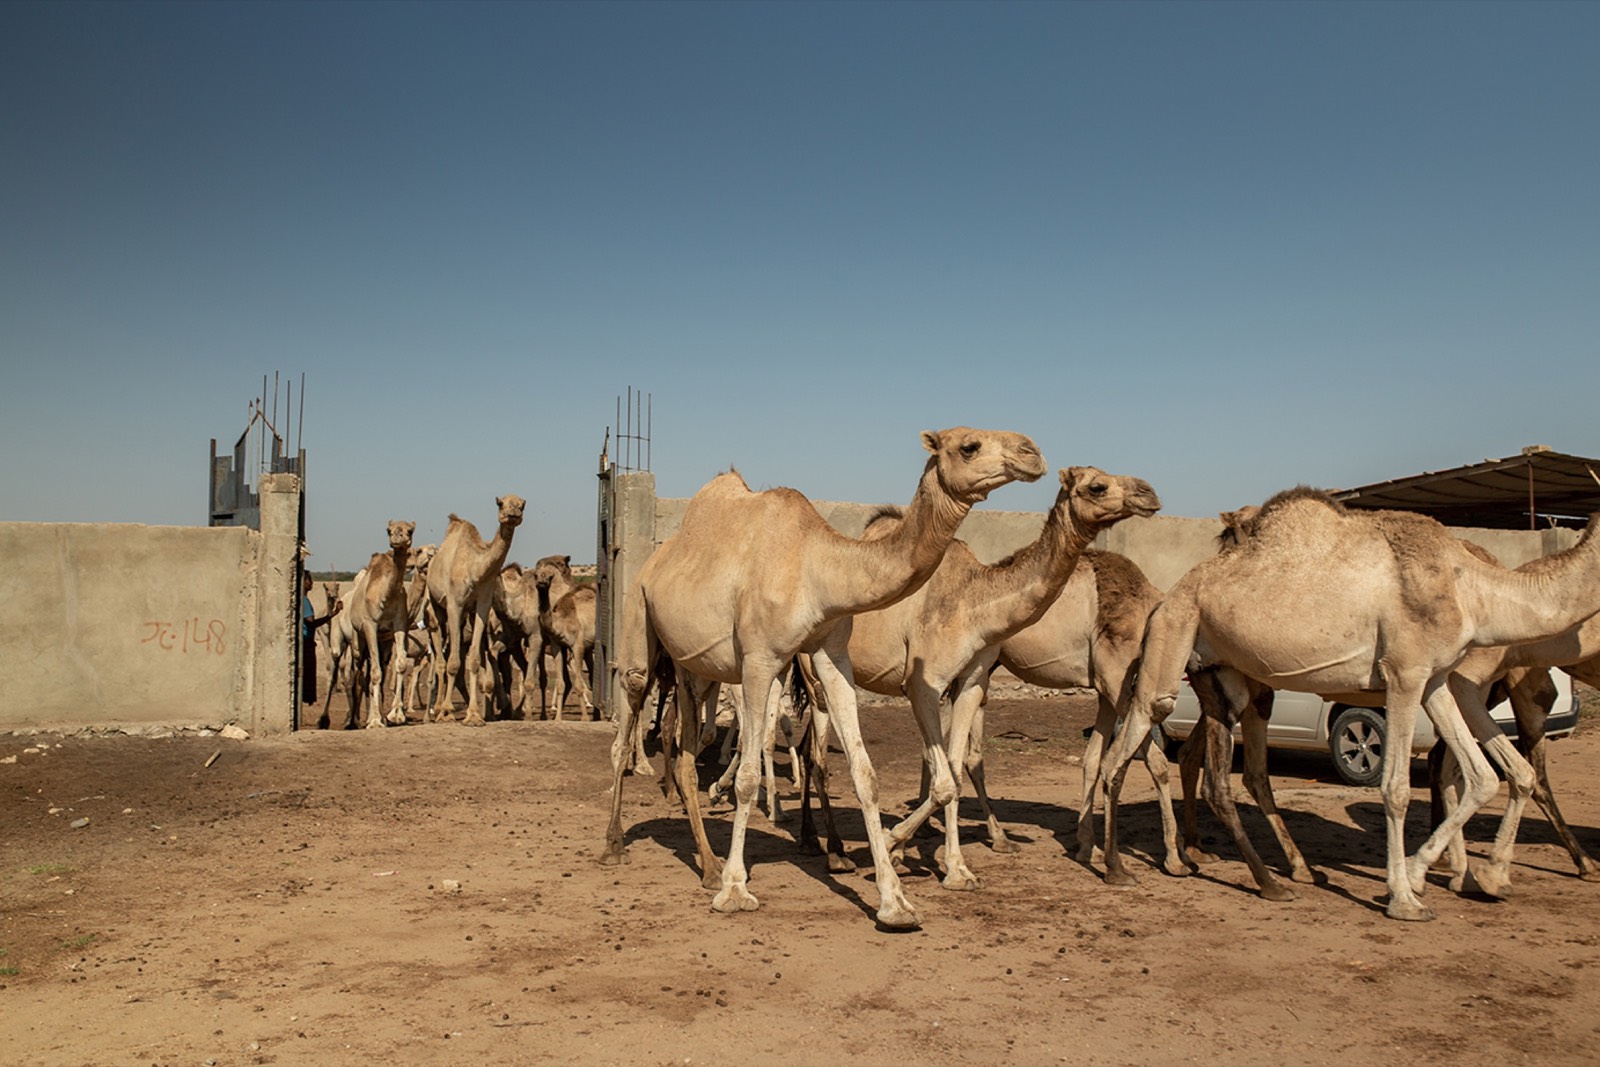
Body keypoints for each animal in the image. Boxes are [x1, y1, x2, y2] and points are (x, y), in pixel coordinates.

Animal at [425, 495, 526, 726]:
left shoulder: (481, 605)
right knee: (441, 657)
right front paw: (448, 710)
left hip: (467, 616)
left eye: (522, 504)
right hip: (436, 606)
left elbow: (474, 659)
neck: (474, 569)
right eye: (500, 503)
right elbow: (453, 662)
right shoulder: (455, 604)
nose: (513, 513)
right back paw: (439, 710)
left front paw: (474, 716)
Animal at [532, 555, 598, 720]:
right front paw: (557, 718)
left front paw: (584, 719)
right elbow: (561, 683)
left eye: (549, 576)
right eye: (536, 575)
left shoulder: (577, 645)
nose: (542, 582)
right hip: (589, 648)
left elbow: (579, 684)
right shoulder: (557, 646)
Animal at [601, 426, 1046, 929]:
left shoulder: (830, 654)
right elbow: (748, 775)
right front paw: (736, 890)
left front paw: (894, 902)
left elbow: (864, 772)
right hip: (639, 618)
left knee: (686, 750)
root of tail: (654, 557)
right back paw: (616, 844)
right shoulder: (759, 659)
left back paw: (708, 866)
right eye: (969, 446)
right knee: (629, 715)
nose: (1033, 453)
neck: (817, 569)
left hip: (691, 665)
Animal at [839, 467, 1161, 890]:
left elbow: (954, 767)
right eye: (1097, 486)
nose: (1149, 493)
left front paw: (954, 868)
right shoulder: (924, 681)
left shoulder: (973, 679)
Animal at [1096, 487, 1600, 921]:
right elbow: (1396, 789)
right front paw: (1405, 898)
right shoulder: (1404, 674)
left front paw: (1469, 876)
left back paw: (1269, 879)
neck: (1474, 590)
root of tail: (1168, 594)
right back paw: (1118, 867)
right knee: (1129, 744)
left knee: (1218, 772)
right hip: (1174, 637)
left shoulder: (1437, 679)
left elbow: (1483, 777)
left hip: (1220, 669)